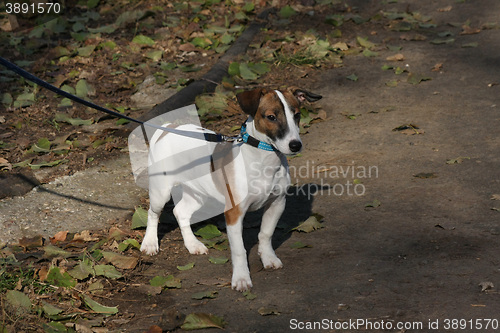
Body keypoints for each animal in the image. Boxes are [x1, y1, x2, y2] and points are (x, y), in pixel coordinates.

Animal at [139, 86, 322, 290]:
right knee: (153, 213)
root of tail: (169, 128)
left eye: (296, 115)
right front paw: (241, 278)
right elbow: (239, 250)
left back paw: (193, 244)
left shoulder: (277, 204)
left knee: (181, 212)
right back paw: (150, 243)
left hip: (198, 193)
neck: (263, 160)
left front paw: (268, 258)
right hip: (160, 192)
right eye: (271, 117)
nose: (295, 145)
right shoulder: (234, 214)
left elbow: (265, 234)